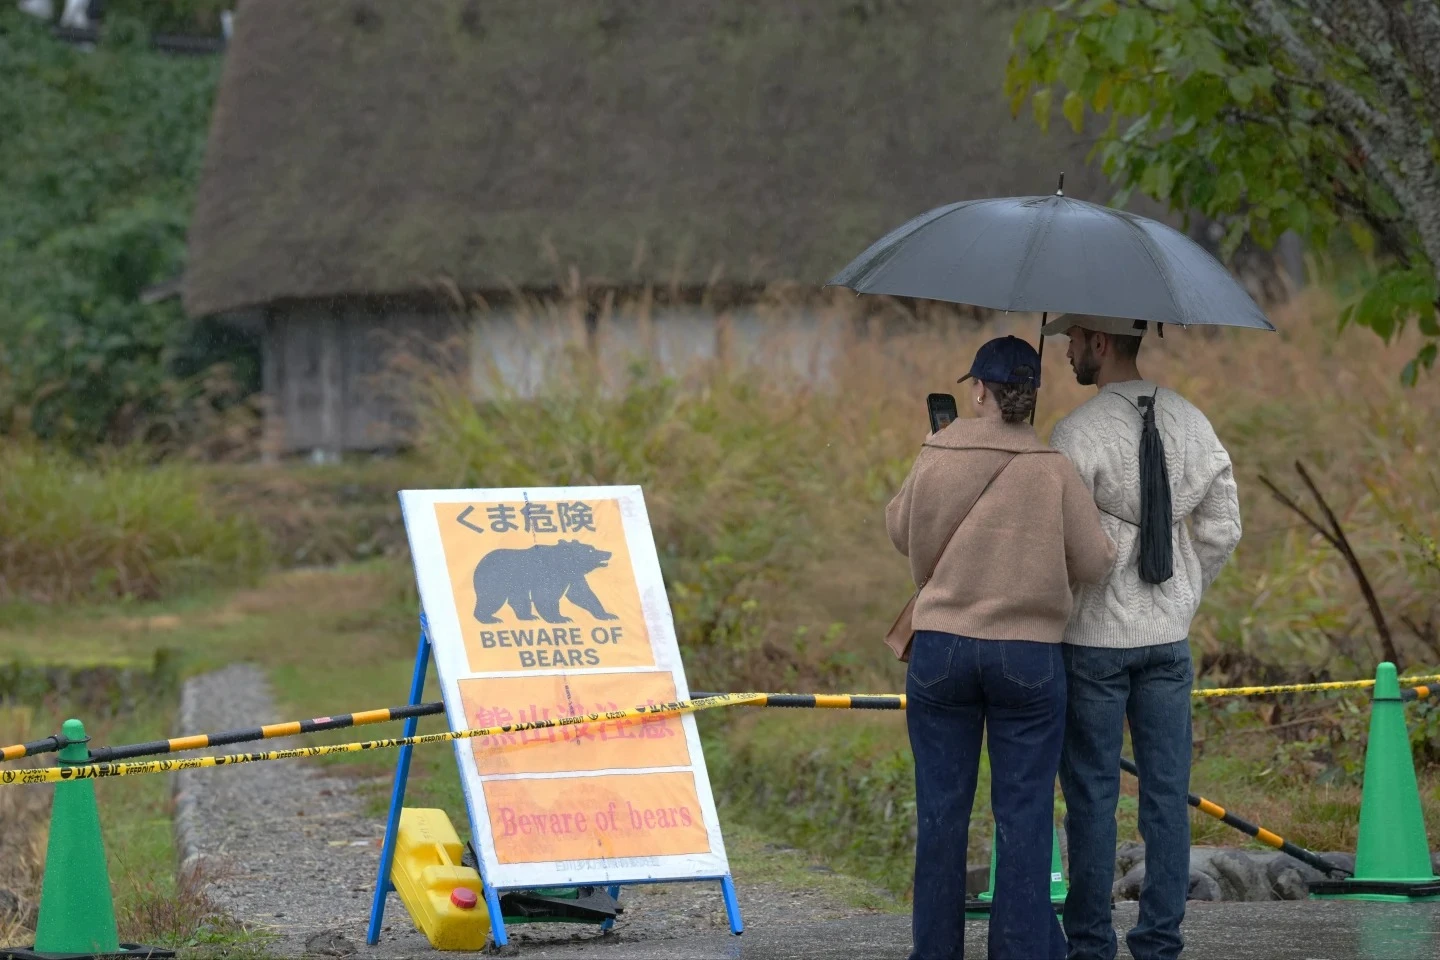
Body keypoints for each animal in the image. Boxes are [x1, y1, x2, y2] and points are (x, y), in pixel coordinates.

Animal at [472, 539, 620, 625]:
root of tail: (479, 562)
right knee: (491, 599)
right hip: (495, 579)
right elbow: (546, 597)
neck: (564, 565)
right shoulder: (547, 574)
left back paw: (528, 616)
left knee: (518, 599)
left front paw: (608, 615)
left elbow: (583, 595)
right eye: (591, 549)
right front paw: (560, 618)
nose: (608, 553)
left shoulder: (573, 576)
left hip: (516, 584)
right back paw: (489, 618)